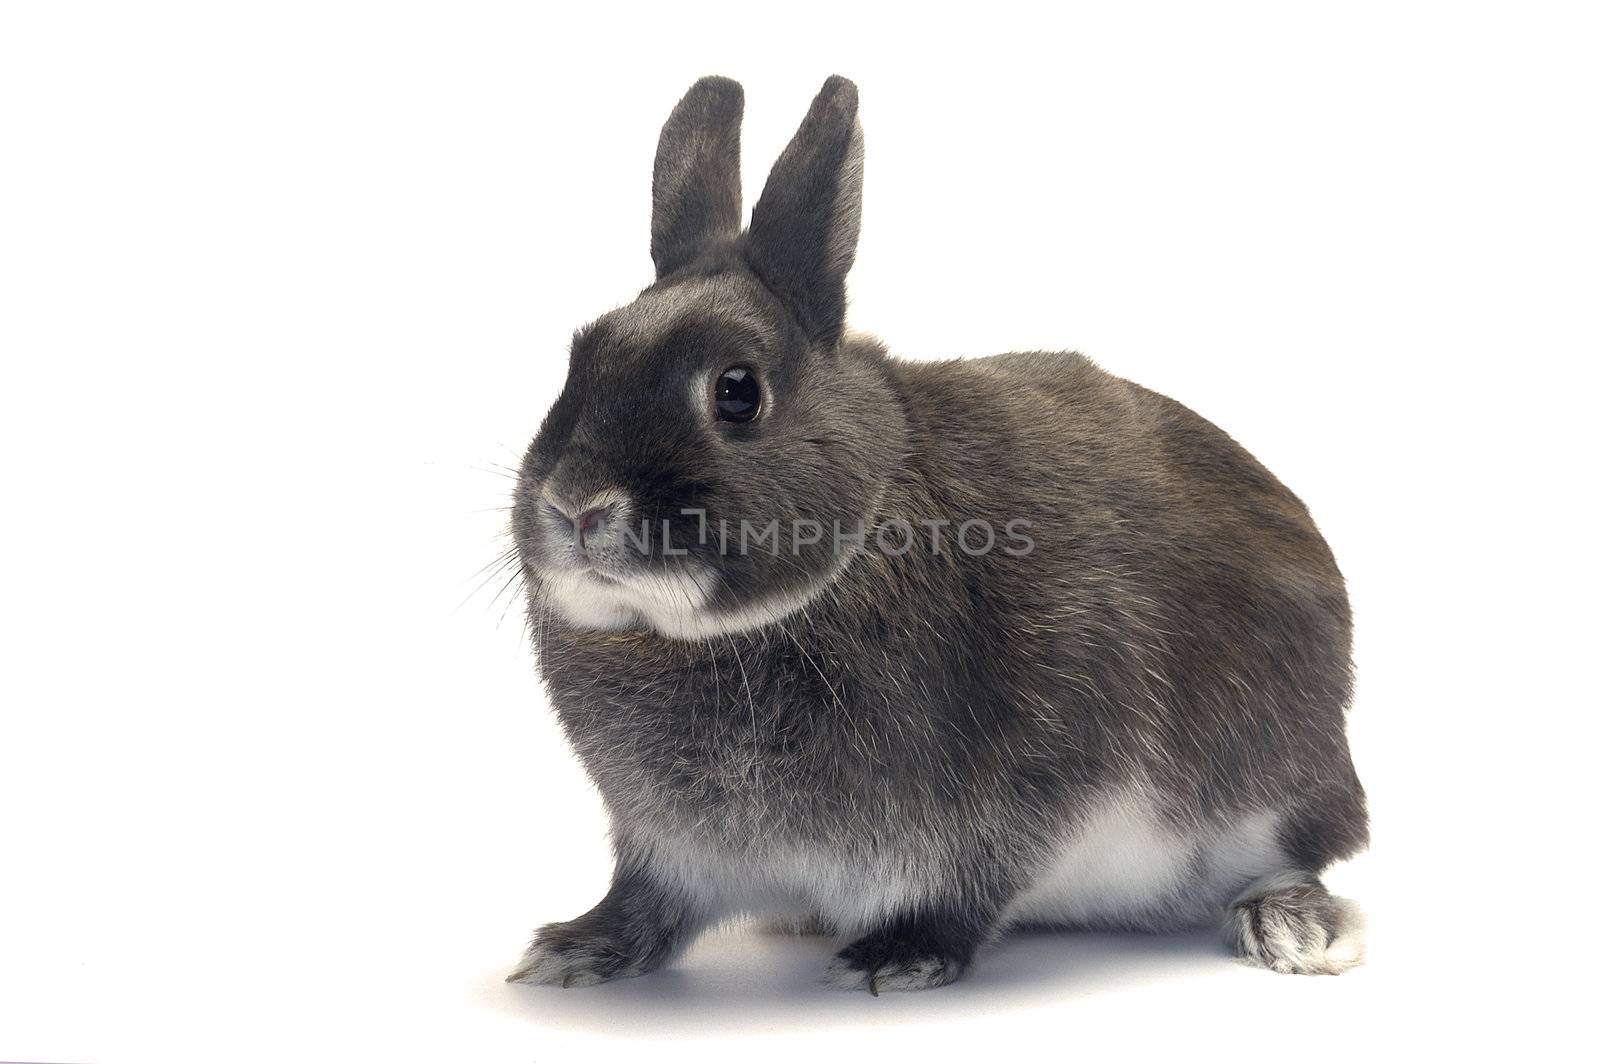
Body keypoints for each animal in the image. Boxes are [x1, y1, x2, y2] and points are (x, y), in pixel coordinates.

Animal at [505, 76, 1369, 998]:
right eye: (578, 360)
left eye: (737, 392)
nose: (578, 505)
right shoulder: (669, 848)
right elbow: (649, 904)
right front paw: (576, 948)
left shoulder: (1021, 790)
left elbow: (968, 887)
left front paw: (898, 955)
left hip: (1271, 781)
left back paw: (1296, 929)